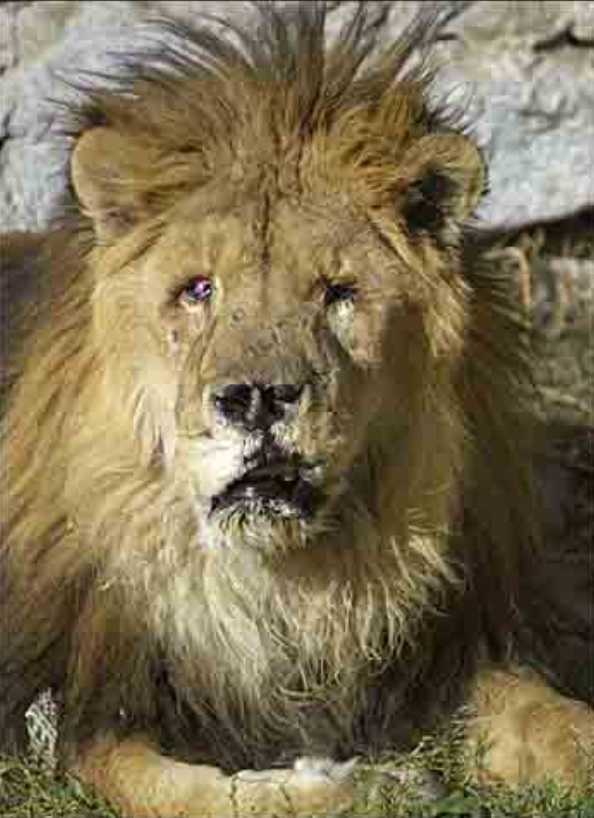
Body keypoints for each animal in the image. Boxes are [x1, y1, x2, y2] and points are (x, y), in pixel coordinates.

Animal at [1, 4, 592, 817]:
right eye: (198, 290)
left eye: (337, 294)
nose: (257, 398)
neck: (280, 596)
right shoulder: (84, 710)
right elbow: (204, 796)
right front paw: (377, 783)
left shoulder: (437, 656)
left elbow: (557, 717)